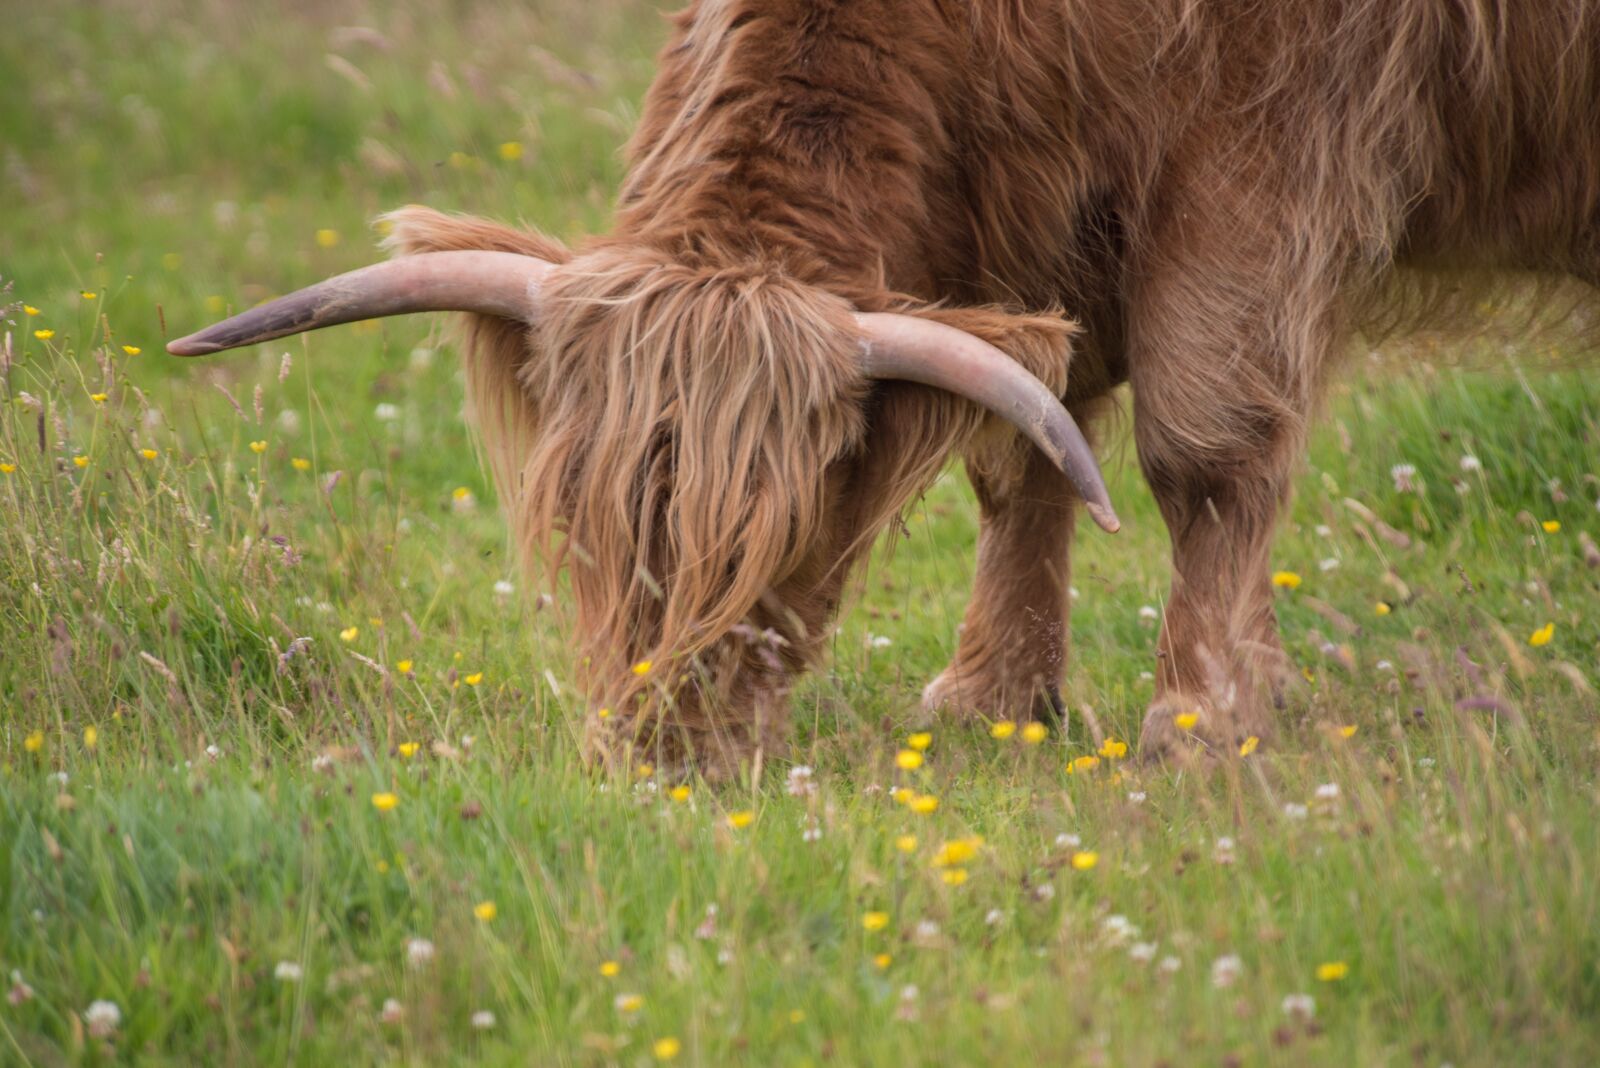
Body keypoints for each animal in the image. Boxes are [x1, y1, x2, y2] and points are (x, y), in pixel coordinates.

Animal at [169, 0, 1600, 775]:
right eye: (574, 521)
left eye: (791, 521)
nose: (662, 748)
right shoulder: (1036, 202)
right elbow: (1026, 449)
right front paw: (995, 699)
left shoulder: (1265, 151)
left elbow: (1201, 446)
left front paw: (1201, 719)